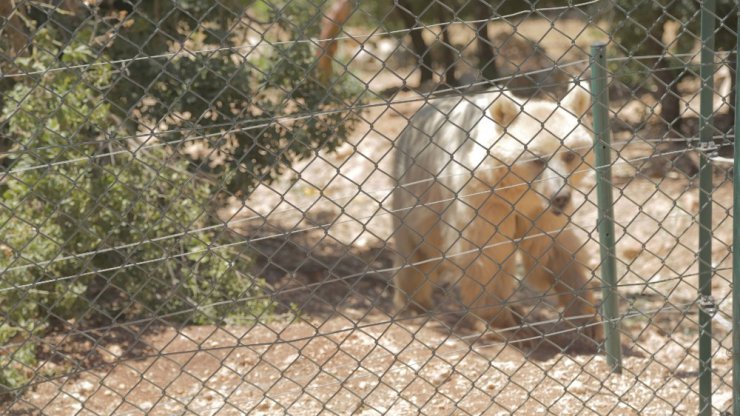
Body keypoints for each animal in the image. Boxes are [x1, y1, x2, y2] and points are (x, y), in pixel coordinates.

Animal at [394, 85, 600, 342]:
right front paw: (497, 323)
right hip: (416, 191)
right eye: (537, 159)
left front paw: (587, 317)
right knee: (415, 251)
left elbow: (551, 249)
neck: (515, 192)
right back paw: (414, 303)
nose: (560, 197)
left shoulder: (538, 211)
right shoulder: (482, 199)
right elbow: (484, 254)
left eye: (570, 155)